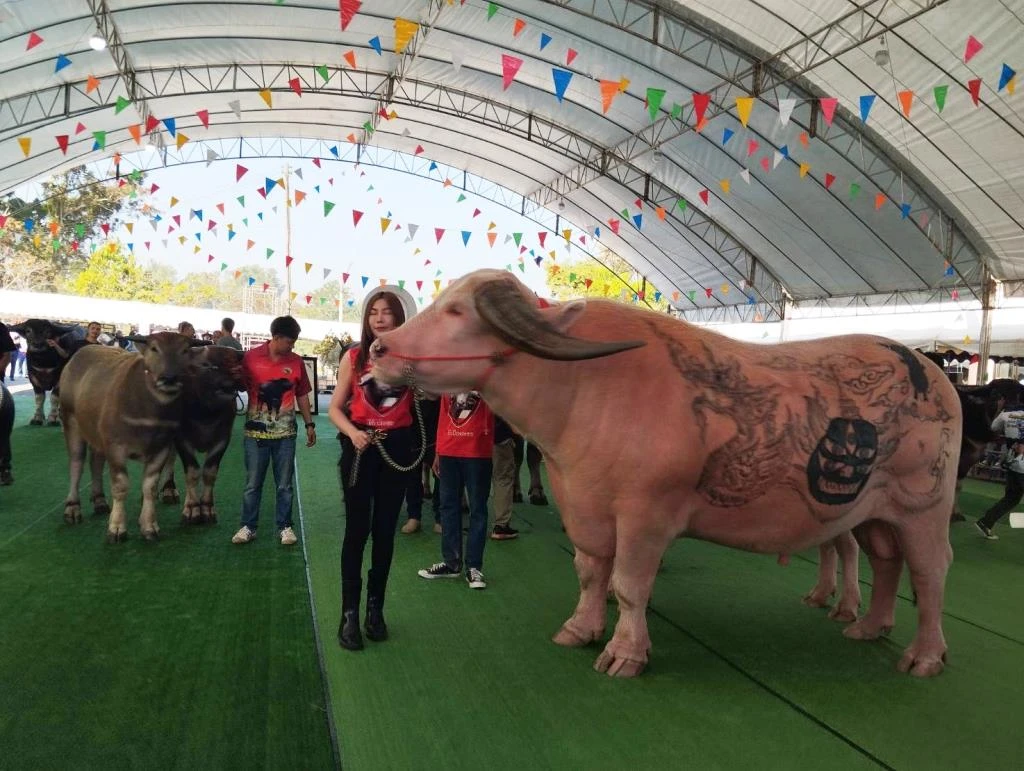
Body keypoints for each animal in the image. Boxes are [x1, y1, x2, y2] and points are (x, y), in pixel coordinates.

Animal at [59, 333, 199, 544]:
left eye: (185, 350)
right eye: (154, 348)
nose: (169, 378)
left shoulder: (161, 448)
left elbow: (150, 486)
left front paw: (149, 526)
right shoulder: (115, 447)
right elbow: (120, 485)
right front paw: (117, 528)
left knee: (95, 462)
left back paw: (99, 500)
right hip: (71, 421)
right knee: (76, 464)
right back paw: (73, 508)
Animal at [374, 268, 958, 675]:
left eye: (455, 311)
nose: (379, 347)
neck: (583, 389)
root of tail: (937, 378)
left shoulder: (645, 516)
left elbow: (630, 584)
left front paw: (625, 654)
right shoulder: (585, 508)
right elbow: (591, 573)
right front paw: (580, 629)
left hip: (925, 511)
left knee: (929, 573)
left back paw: (924, 656)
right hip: (873, 512)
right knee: (886, 561)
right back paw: (869, 627)